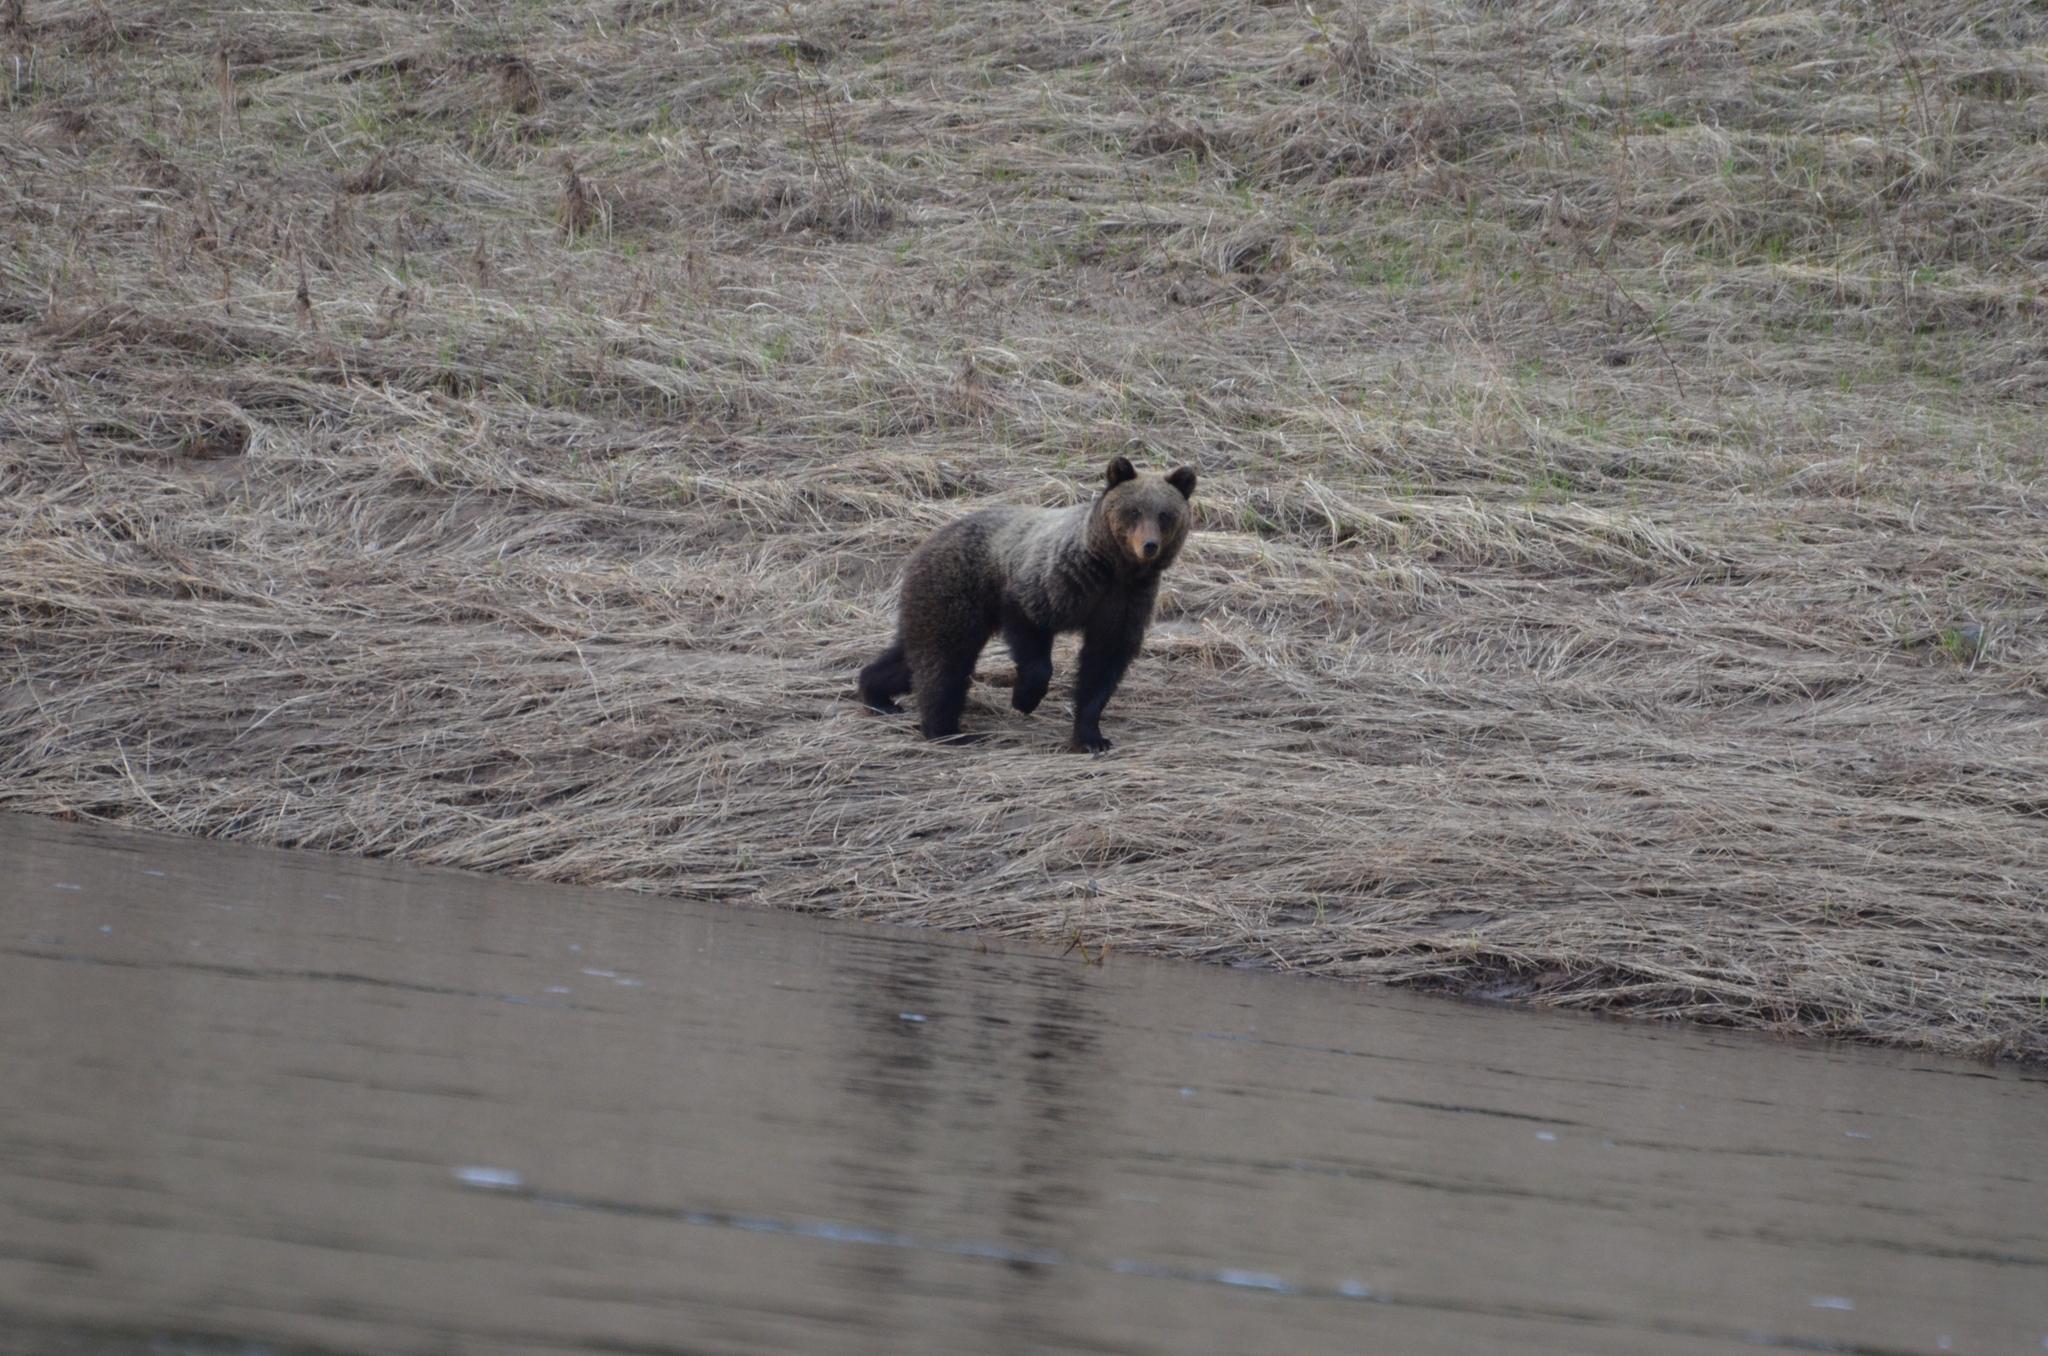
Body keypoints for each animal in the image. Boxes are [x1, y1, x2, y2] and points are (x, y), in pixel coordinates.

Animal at [858, 455, 1196, 752]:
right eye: (1134, 511)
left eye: (1165, 515)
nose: (1149, 546)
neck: (1113, 569)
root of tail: (927, 541)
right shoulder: (1055, 582)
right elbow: (1031, 636)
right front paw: (1024, 698)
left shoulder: (1124, 602)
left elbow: (1102, 665)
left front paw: (1091, 737)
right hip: (957, 589)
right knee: (945, 661)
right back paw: (948, 731)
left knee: (911, 654)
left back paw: (876, 693)